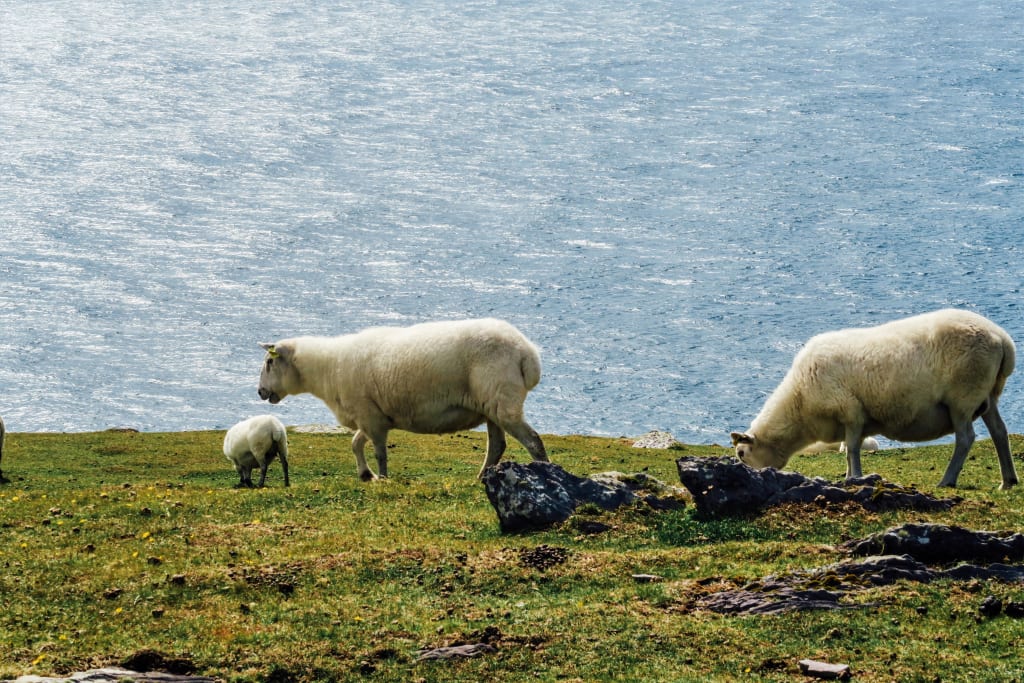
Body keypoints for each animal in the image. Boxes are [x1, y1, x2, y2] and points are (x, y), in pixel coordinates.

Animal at [257, 318, 549, 481]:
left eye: (270, 362)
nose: (260, 392)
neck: (328, 368)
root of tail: (527, 351)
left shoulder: (369, 416)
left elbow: (380, 452)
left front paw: (383, 477)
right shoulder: (372, 416)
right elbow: (355, 444)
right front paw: (365, 474)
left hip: (504, 403)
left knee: (533, 440)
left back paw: (546, 471)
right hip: (492, 407)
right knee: (497, 445)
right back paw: (481, 477)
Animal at [731, 309, 1017, 490]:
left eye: (742, 454)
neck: (799, 402)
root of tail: (1003, 339)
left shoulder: (850, 411)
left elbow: (852, 450)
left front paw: (855, 477)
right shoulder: (855, 418)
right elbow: (850, 450)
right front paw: (850, 476)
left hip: (962, 397)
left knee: (966, 438)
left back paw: (947, 480)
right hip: (987, 395)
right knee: (999, 432)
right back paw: (1008, 481)